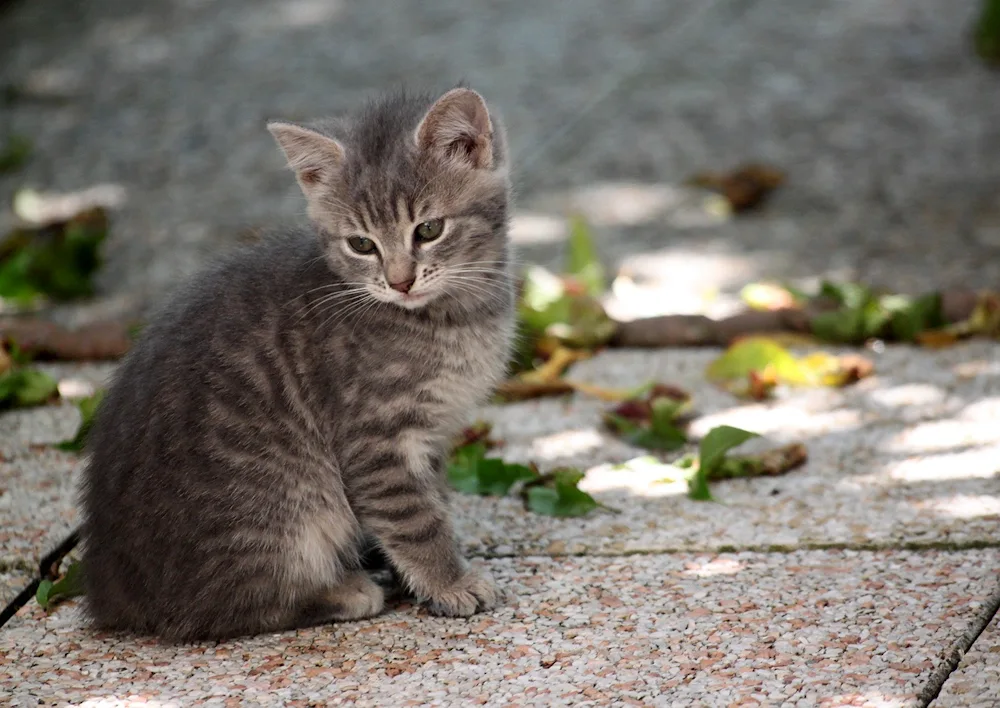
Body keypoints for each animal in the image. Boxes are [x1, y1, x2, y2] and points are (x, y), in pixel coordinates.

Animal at [79, 88, 516, 640]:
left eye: (430, 229)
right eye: (362, 244)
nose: (400, 282)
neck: (453, 317)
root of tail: (110, 595)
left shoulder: (433, 436)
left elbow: (431, 501)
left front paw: (416, 576)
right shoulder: (375, 438)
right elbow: (415, 518)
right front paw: (449, 581)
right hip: (284, 508)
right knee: (215, 609)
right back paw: (344, 591)